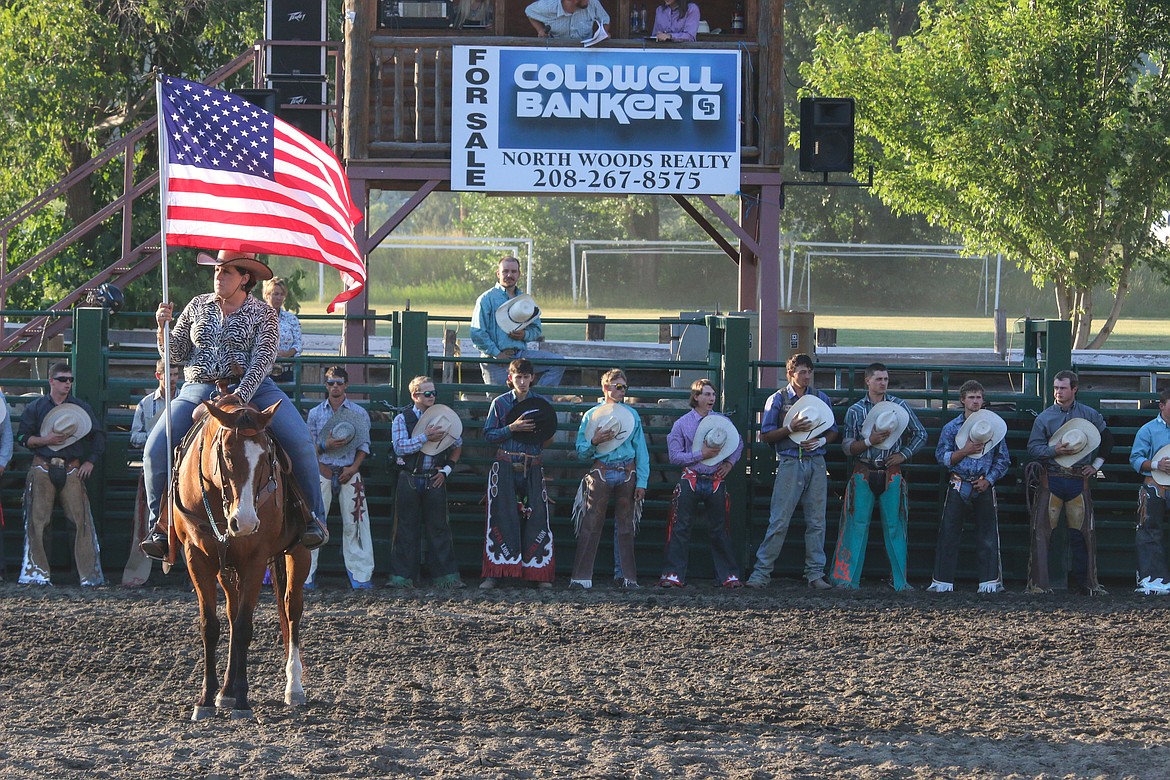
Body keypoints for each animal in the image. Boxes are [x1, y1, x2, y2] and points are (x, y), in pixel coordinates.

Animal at [170, 399, 311, 725]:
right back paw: (226, 691)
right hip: (227, 572)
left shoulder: (255, 561)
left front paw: (244, 703)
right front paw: (206, 699)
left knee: (291, 609)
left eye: (266, 457)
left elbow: (245, 627)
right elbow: (211, 626)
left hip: (299, 554)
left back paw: (294, 688)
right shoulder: (197, 559)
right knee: (232, 615)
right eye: (225, 454)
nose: (244, 523)